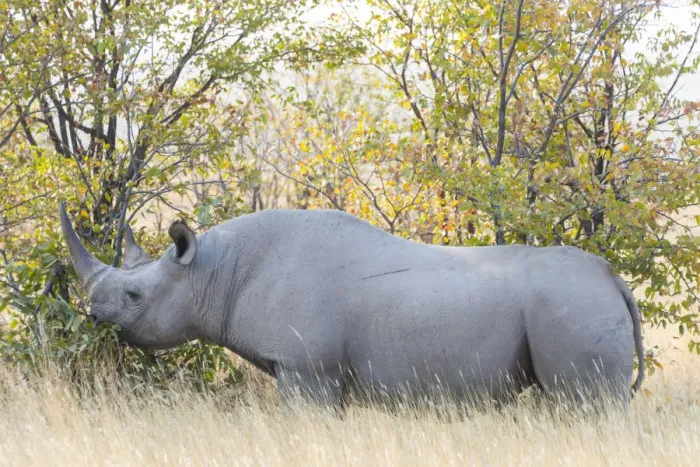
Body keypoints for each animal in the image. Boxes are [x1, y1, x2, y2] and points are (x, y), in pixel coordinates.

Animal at [59, 202, 644, 407]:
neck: (210, 273)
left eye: (134, 297)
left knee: (588, 405)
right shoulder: (318, 372)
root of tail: (613, 279)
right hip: (573, 302)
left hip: (571, 305)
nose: (95, 317)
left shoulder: (307, 369)